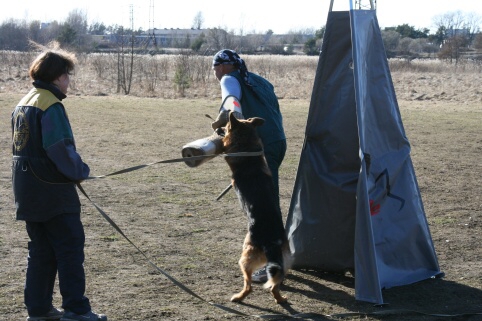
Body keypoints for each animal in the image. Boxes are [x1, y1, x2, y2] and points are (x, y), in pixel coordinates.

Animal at [221, 112, 290, 302]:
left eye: (226, 126)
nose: (219, 128)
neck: (248, 147)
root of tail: (272, 242)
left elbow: (225, 148)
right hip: (283, 262)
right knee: (274, 285)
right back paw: (281, 299)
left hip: (245, 258)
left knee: (249, 286)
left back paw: (238, 297)